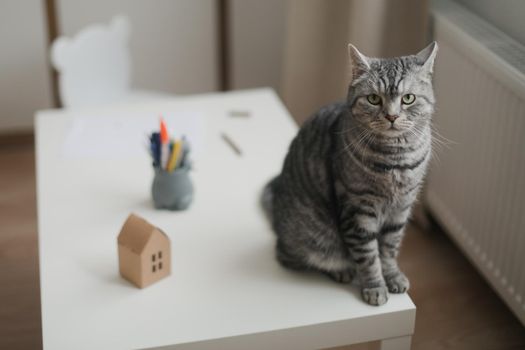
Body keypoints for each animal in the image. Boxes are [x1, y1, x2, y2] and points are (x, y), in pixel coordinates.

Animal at [262, 42, 438, 304]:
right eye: (374, 99)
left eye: (408, 98)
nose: (392, 116)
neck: (395, 159)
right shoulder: (358, 211)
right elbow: (368, 256)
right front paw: (375, 287)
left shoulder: (401, 208)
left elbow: (389, 249)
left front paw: (392, 276)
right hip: (312, 237)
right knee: (296, 257)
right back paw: (342, 269)